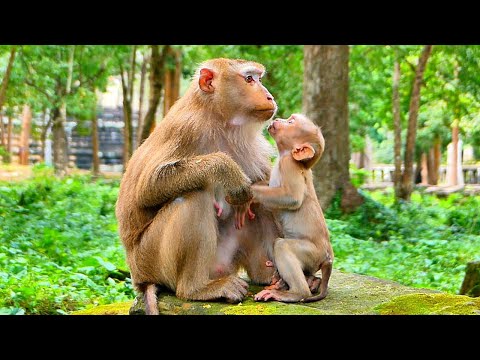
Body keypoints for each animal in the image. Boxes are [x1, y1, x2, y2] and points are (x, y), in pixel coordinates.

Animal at [116, 57, 280, 314]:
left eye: (258, 78)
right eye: (249, 79)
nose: (269, 96)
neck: (218, 118)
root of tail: (139, 278)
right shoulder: (186, 128)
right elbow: (147, 189)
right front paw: (227, 171)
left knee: (259, 204)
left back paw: (274, 277)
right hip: (150, 259)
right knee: (193, 196)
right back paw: (195, 289)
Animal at [238, 114, 332, 302]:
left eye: (290, 122)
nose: (279, 119)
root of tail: (328, 258)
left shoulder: (289, 165)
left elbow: (291, 198)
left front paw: (248, 193)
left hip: (312, 254)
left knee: (282, 246)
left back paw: (296, 292)